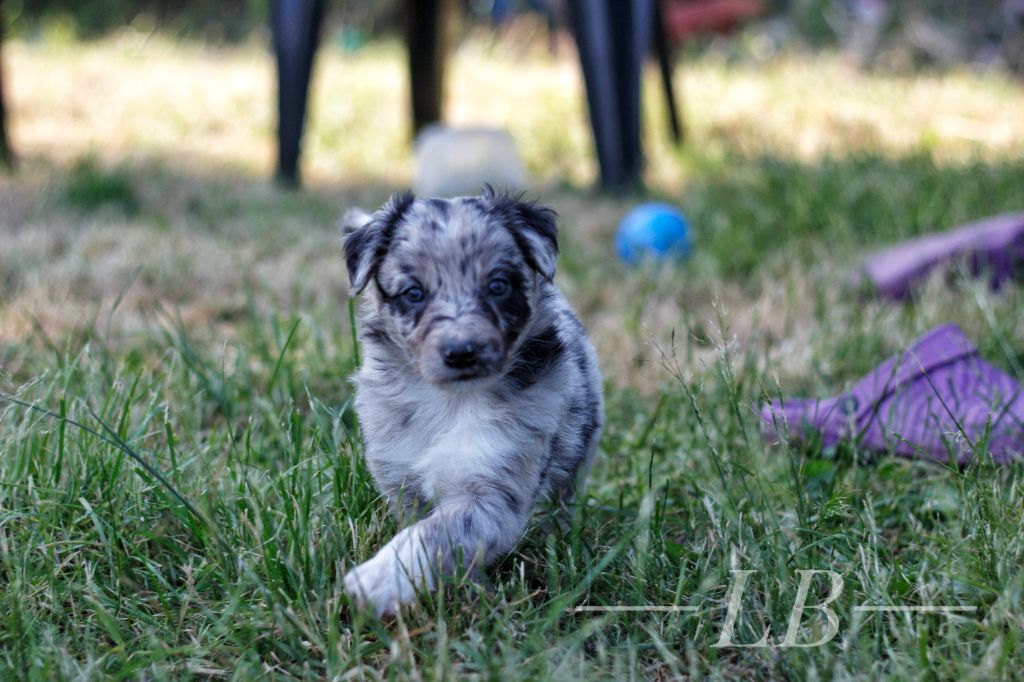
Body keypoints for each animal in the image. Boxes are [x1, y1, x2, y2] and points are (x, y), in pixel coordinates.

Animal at [339, 187, 602, 614]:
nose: (462, 352)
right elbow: (417, 523)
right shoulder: (401, 479)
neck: (451, 402)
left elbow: (432, 533)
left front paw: (377, 578)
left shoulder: (495, 489)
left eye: (498, 285)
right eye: (414, 293)